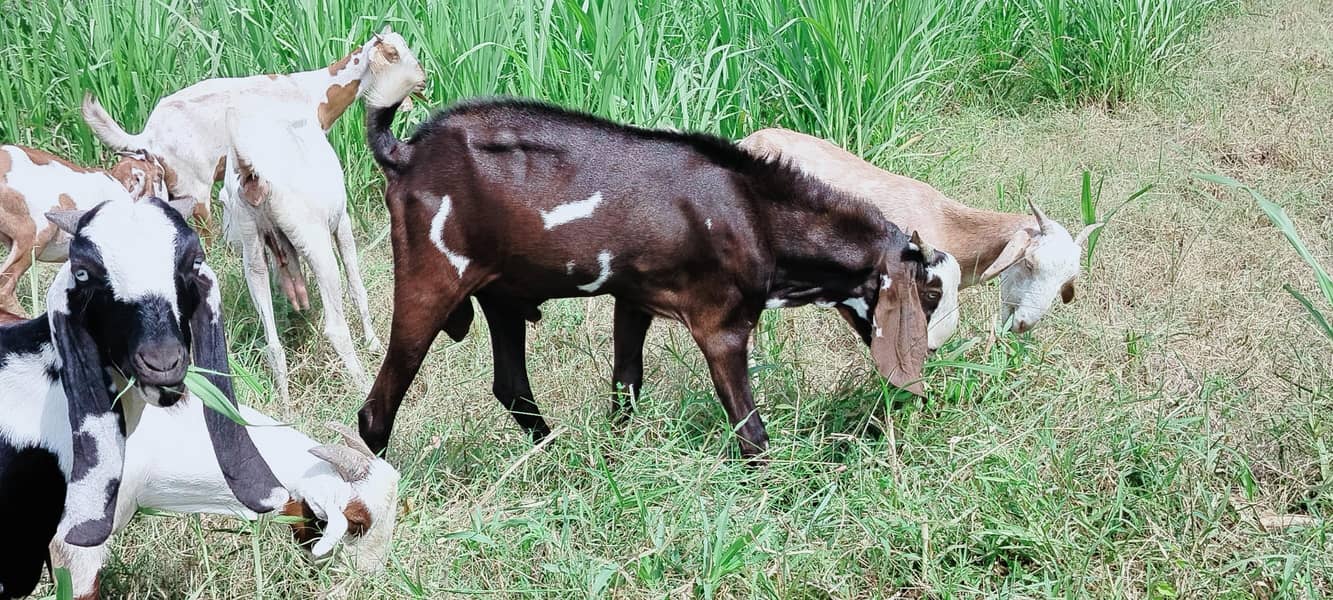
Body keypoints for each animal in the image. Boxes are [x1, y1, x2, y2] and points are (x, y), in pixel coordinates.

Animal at [219, 104, 381, 401]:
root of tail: (253, 177)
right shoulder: (342, 222)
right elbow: (356, 287)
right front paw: (373, 342)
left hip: (252, 249)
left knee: (272, 343)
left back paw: (284, 404)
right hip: (316, 242)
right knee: (336, 328)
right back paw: (365, 387)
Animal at [357, 97, 945, 460]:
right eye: (932, 294)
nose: (932, 364)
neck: (752, 210)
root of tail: (405, 152)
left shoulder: (633, 298)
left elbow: (627, 387)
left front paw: (618, 458)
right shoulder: (722, 325)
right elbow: (750, 430)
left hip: (501, 295)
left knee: (512, 388)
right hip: (431, 280)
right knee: (375, 410)